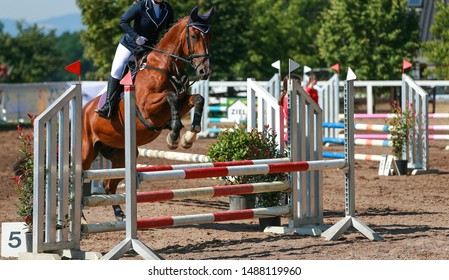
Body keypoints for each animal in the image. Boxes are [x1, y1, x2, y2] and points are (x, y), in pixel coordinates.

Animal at [82, 6, 214, 220]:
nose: (204, 72)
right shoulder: (146, 106)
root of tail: (86, 109)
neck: (166, 65)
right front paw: (174, 135)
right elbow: (171, 96)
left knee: (108, 185)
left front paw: (189, 135)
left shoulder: (183, 101)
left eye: (209, 37)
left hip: (122, 155)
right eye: (194, 36)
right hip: (87, 151)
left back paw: (119, 214)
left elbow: (197, 99)